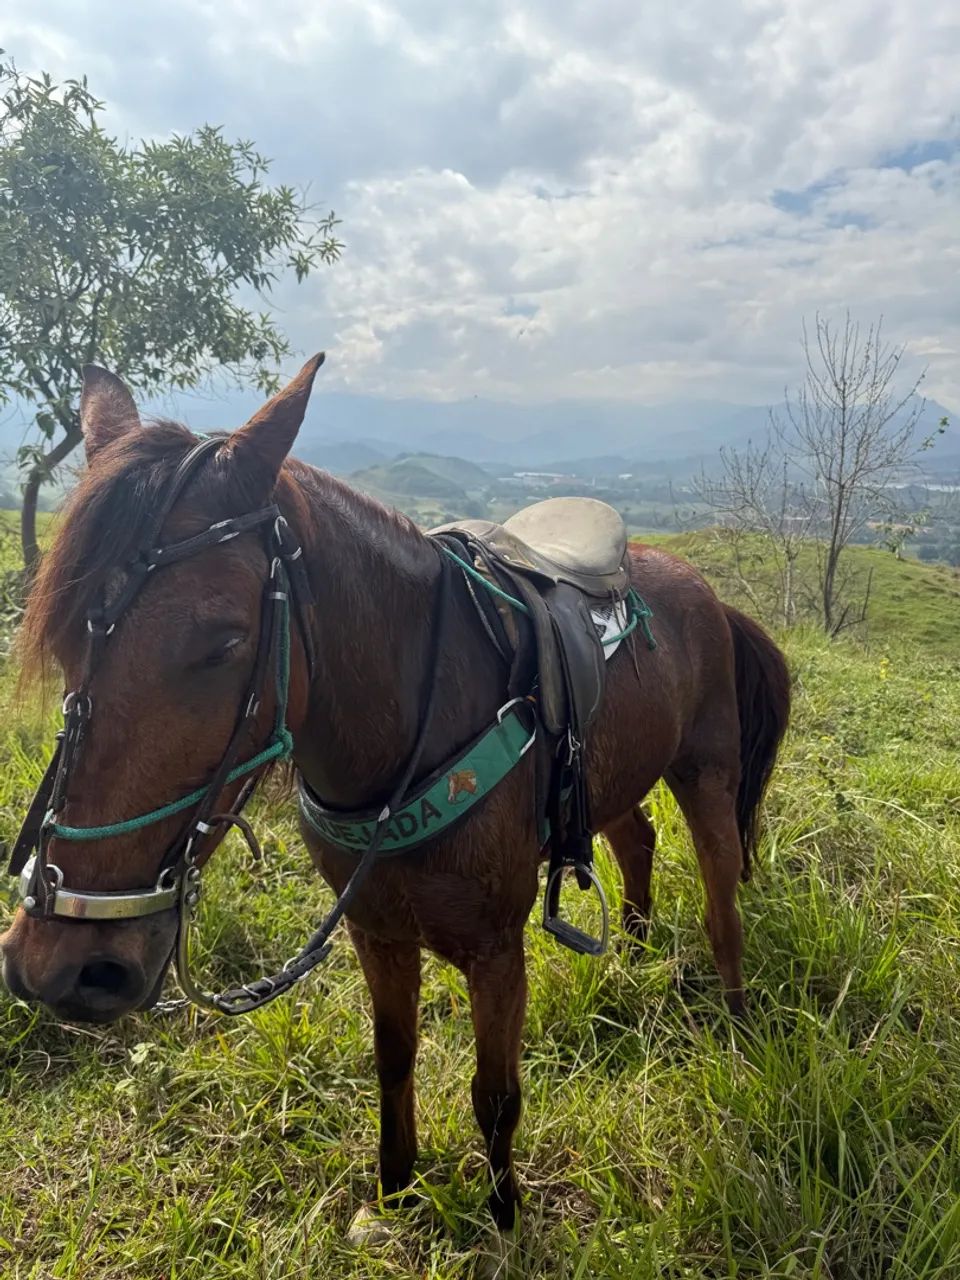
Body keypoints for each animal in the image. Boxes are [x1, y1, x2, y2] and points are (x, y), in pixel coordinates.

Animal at [1, 355, 790, 1235]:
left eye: (224, 642)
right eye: (64, 637)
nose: (63, 968)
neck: (408, 732)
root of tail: (702, 588)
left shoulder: (495, 947)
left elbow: (496, 1094)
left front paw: (504, 1216)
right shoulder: (375, 930)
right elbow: (394, 1059)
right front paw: (396, 1189)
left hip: (707, 773)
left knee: (721, 895)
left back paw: (733, 1018)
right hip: (615, 777)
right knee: (638, 843)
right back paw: (639, 957)